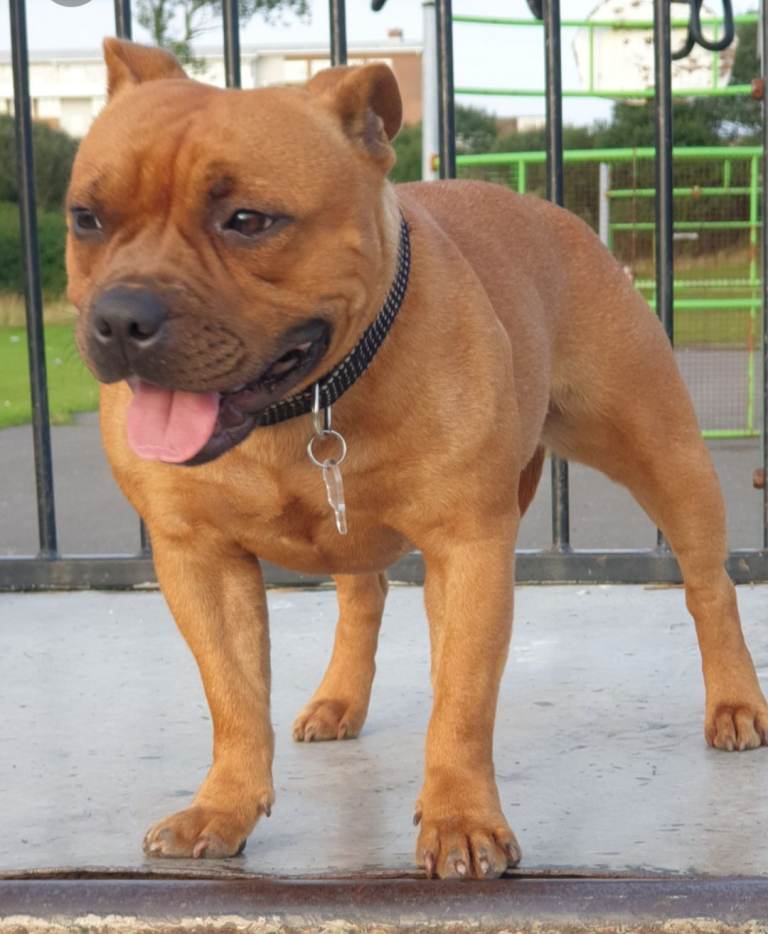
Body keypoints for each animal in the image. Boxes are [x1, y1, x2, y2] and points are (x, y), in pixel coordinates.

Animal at [65, 38, 768, 880]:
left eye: (247, 221)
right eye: (86, 218)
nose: (120, 317)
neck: (302, 409)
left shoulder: (469, 548)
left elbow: (461, 700)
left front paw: (461, 817)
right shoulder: (197, 557)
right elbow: (232, 695)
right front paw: (224, 804)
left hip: (665, 456)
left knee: (708, 587)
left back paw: (735, 702)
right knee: (362, 598)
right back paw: (339, 699)